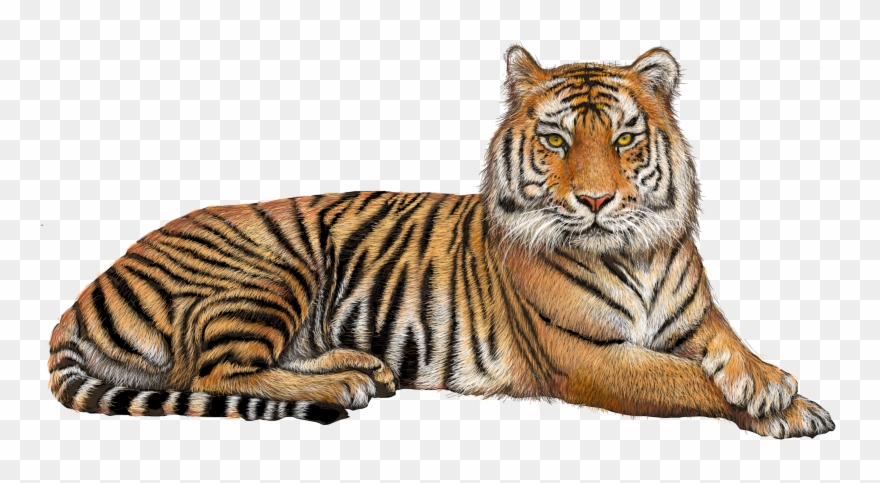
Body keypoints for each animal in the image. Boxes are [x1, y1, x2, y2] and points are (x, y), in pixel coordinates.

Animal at [48, 45, 835, 438]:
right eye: (556, 141)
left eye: (623, 139)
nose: (596, 200)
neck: (635, 250)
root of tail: (85, 292)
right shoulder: (587, 356)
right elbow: (686, 379)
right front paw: (782, 408)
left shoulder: (695, 318)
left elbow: (727, 346)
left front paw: (775, 386)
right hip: (268, 270)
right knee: (212, 372)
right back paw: (342, 383)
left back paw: (363, 366)